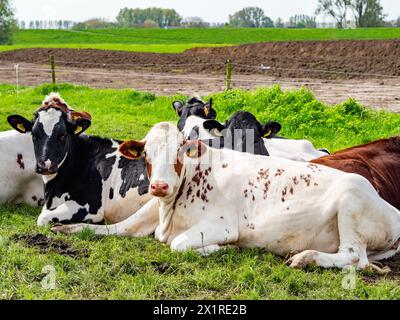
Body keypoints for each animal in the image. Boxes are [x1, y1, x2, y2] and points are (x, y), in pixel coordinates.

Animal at [53, 121, 400, 272]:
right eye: (147, 154)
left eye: (180, 151)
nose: (159, 187)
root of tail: (392, 211)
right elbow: (108, 229)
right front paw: (65, 228)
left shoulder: (221, 225)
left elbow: (179, 245)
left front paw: (224, 249)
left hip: (351, 199)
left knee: (353, 257)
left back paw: (305, 257)